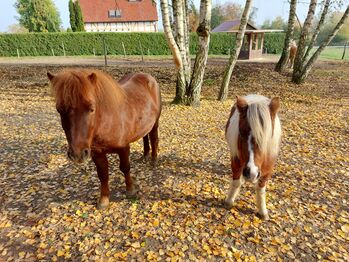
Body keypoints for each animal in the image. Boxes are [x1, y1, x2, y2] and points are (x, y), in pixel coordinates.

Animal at [47, 69, 161, 209]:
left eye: (91, 108)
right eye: (59, 110)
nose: (77, 154)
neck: (106, 121)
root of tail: (148, 77)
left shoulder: (123, 148)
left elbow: (125, 167)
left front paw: (130, 190)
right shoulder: (97, 153)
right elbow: (103, 174)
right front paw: (104, 199)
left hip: (155, 123)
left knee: (154, 138)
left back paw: (153, 160)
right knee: (145, 137)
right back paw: (144, 156)